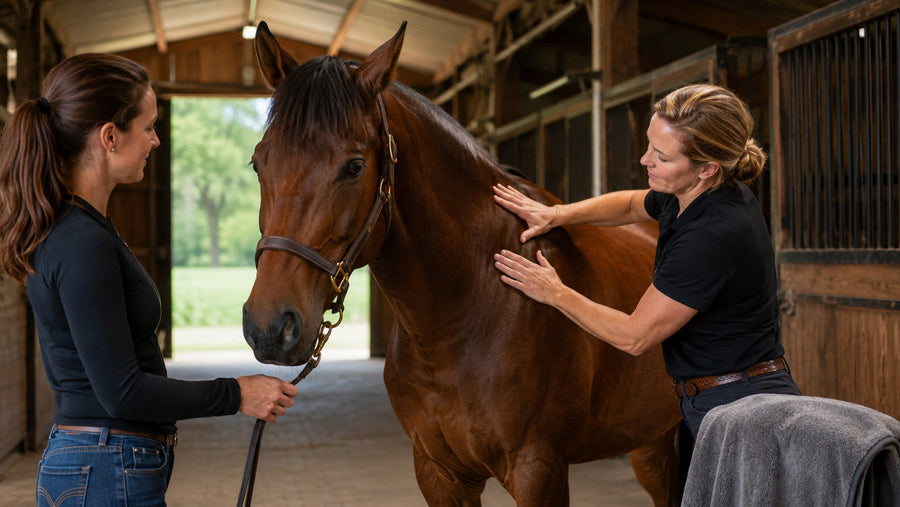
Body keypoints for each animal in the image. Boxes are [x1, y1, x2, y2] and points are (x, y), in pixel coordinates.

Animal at [242, 21, 683, 506]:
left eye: (354, 166)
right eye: (258, 163)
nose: (269, 328)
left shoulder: (539, 469)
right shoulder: (438, 472)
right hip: (651, 440)